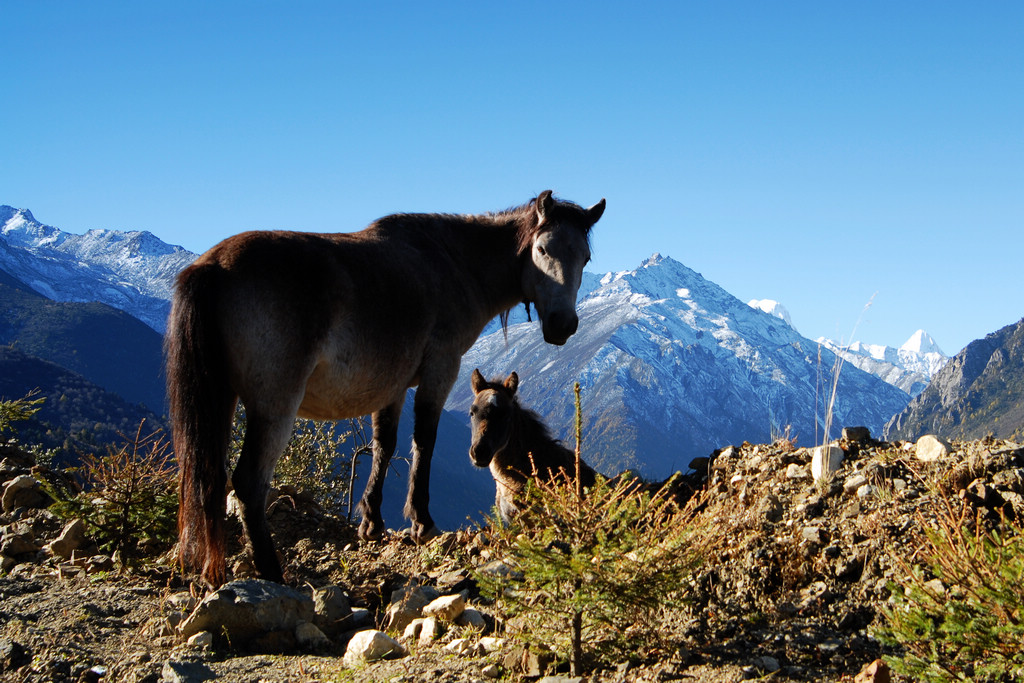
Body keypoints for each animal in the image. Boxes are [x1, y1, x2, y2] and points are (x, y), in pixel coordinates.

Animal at [165, 189, 598, 585]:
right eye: (542, 248)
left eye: (585, 258)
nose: (563, 325)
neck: (454, 263)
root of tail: (212, 268)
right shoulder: (440, 368)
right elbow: (424, 441)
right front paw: (421, 521)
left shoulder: (392, 386)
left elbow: (384, 445)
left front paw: (371, 522)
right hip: (274, 406)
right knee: (248, 483)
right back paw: (272, 574)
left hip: (222, 400)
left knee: (210, 480)